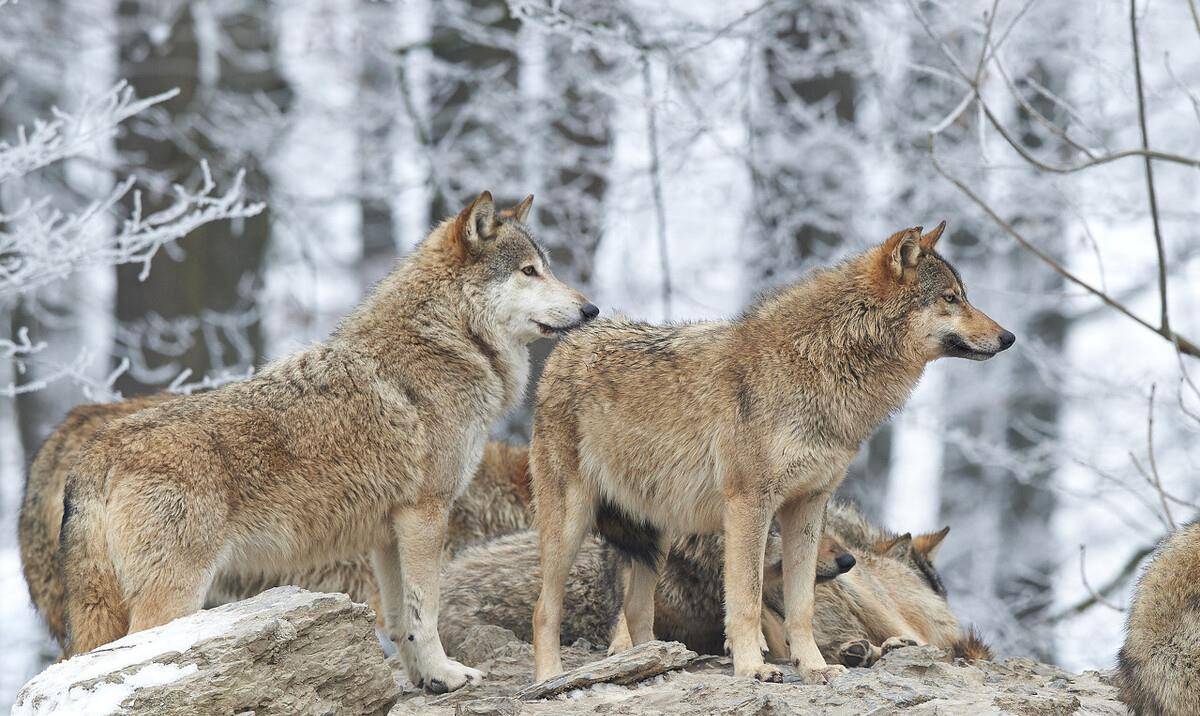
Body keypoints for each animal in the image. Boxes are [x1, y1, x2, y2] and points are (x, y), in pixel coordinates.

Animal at [60, 190, 595, 690]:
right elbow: (427, 610)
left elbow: (401, 621)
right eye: (530, 272)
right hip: (175, 597)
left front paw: (423, 680)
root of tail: (98, 452)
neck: (448, 341)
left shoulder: (388, 533)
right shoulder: (426, 514)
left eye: (546, 268)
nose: (590, 308)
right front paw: (447, 674)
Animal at [530, 223, 1008, 681]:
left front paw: (814, 668)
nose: (1009, 337)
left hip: (656, 535)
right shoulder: (748, 504)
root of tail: (565, 349)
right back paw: (549, 679)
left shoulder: (808, 505)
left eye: (963, 296)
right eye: (951, 298)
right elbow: (746, 599)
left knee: (636, 612)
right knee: (544, 609)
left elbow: (801, 607)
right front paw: (752, 668)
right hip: (571, 524)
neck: (817, 366)